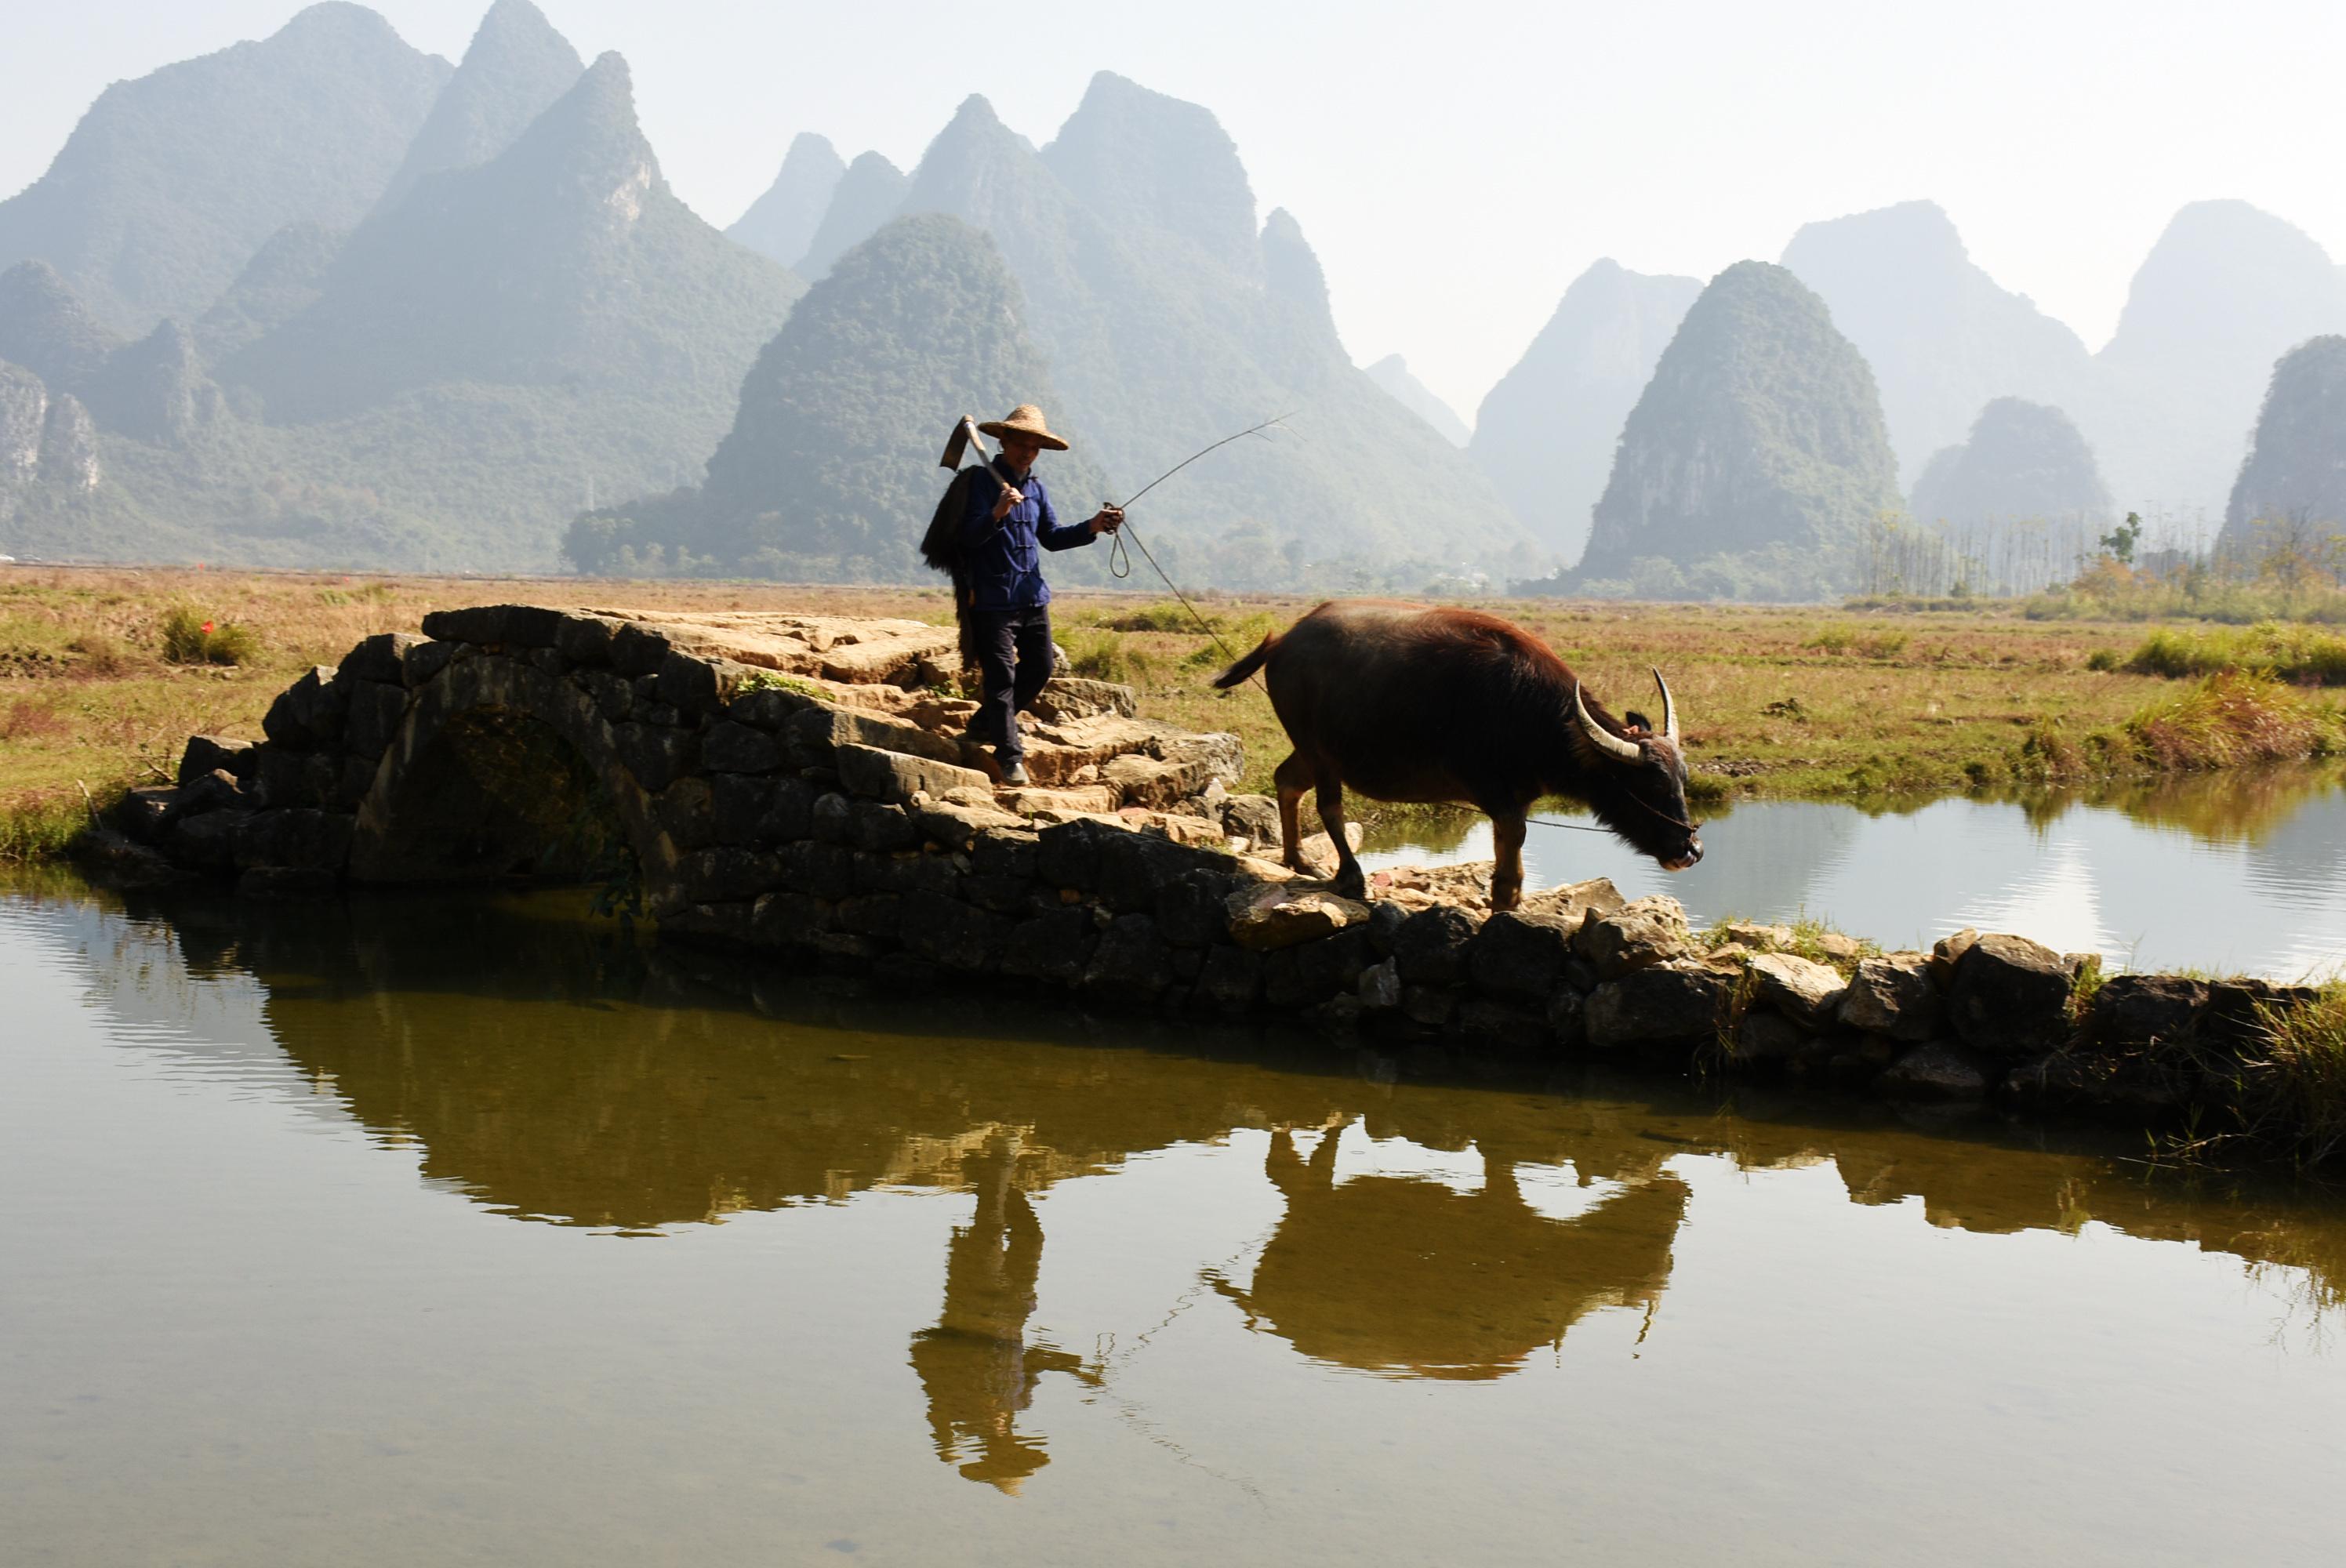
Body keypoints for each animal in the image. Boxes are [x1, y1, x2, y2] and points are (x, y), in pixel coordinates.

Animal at [1210, 605, 1708, 910]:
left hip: (1312, 751)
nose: (1691, 850)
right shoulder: (1491, 791)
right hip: (1321, 752)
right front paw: (1504, 898)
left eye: (1682, 781)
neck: (1529, 709)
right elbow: (1513, 843)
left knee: (1287, 780)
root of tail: (1284, 642)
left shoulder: (1517, 795)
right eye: (1649, 785)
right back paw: (1350, 877)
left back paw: (1298, 860)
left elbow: (1508, 843)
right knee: (1328, 805)